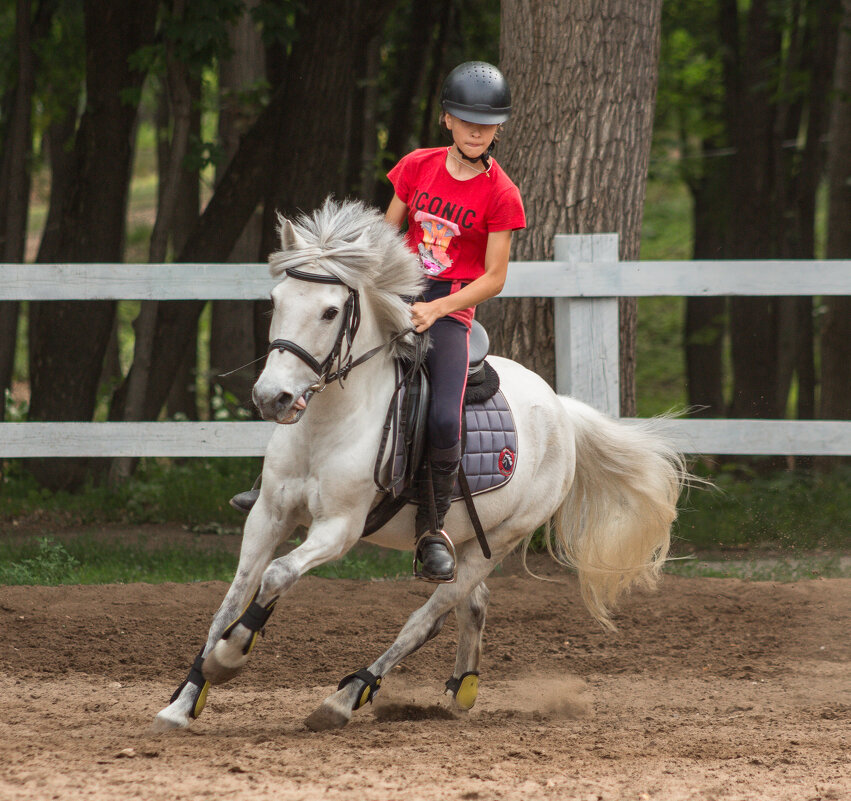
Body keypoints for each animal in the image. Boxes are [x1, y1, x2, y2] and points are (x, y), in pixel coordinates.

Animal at [151, 198, 684, 732]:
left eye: (329, 311)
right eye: (276, 300)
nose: (271, 398)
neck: (330, 424)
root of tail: (561, 407)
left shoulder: (339, 528)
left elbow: (277, 575)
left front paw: (229, 658)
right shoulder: (268, 515)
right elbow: (233, 598)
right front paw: (184, 700)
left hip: (500, 541)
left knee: (429, 617)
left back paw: (346, 697)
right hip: (467, 535)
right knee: (472, 604)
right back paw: (462, 689)